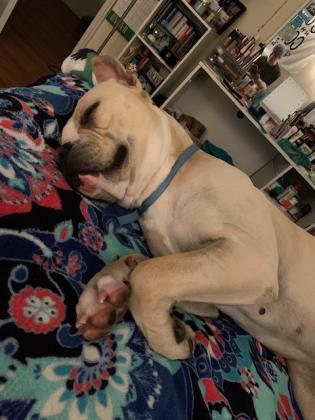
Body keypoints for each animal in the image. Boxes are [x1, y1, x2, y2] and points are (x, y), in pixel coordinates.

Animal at [58, 55, 315, 416]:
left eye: (90, 112)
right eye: (59, 143)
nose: (62, 153)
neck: (159, 187)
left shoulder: (249, 259)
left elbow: (148, 277)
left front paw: (167, 341)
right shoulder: (205, 287)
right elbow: (146, 266)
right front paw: (106, 295)